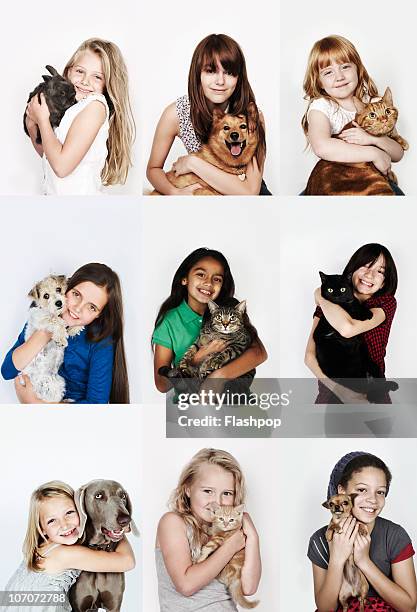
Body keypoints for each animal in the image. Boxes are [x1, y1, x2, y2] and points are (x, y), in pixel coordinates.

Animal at [68, 480, 138, 608]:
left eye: (123, 496)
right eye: (99, 496)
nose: (126, 520)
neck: (100, 549)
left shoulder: (114, 604)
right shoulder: (78, 605)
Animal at [312, 272, 396, 402]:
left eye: (343, 289)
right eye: (330, 290)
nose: (336, 296)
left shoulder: (354, 302)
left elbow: (357, 304)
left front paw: (368, 312)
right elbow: (351, 310)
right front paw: (366, 315)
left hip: (373, 365)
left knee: (377, 386)